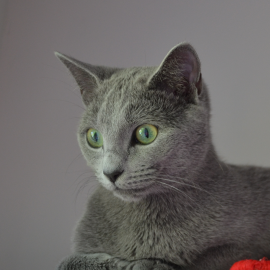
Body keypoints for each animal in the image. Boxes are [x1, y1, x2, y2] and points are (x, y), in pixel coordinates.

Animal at [54, 43, 270, 270]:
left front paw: (149, 263)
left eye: (146, 133)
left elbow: (201, 262)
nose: (110, 173)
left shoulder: (246, 247)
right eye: (94, 137)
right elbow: (68, 260)